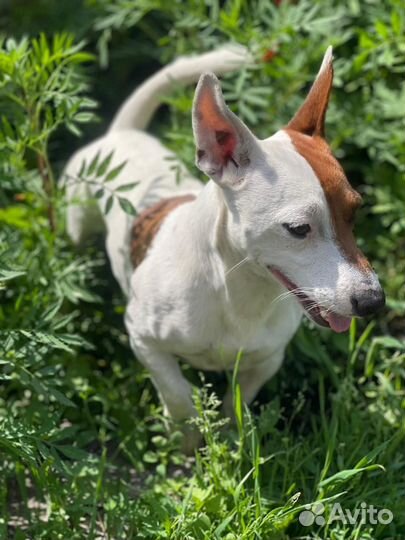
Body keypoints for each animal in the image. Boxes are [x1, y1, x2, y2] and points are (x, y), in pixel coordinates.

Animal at [64, 45, 384, 442]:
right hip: (77, 219)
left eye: (355, 212)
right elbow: (178, 395)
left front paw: (230, 439)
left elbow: (237, 406)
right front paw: (186, 440)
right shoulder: (143, 339)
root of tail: (124, 133)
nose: (374, 301)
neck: (238, 292)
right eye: (298, 228)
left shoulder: (267, 359)